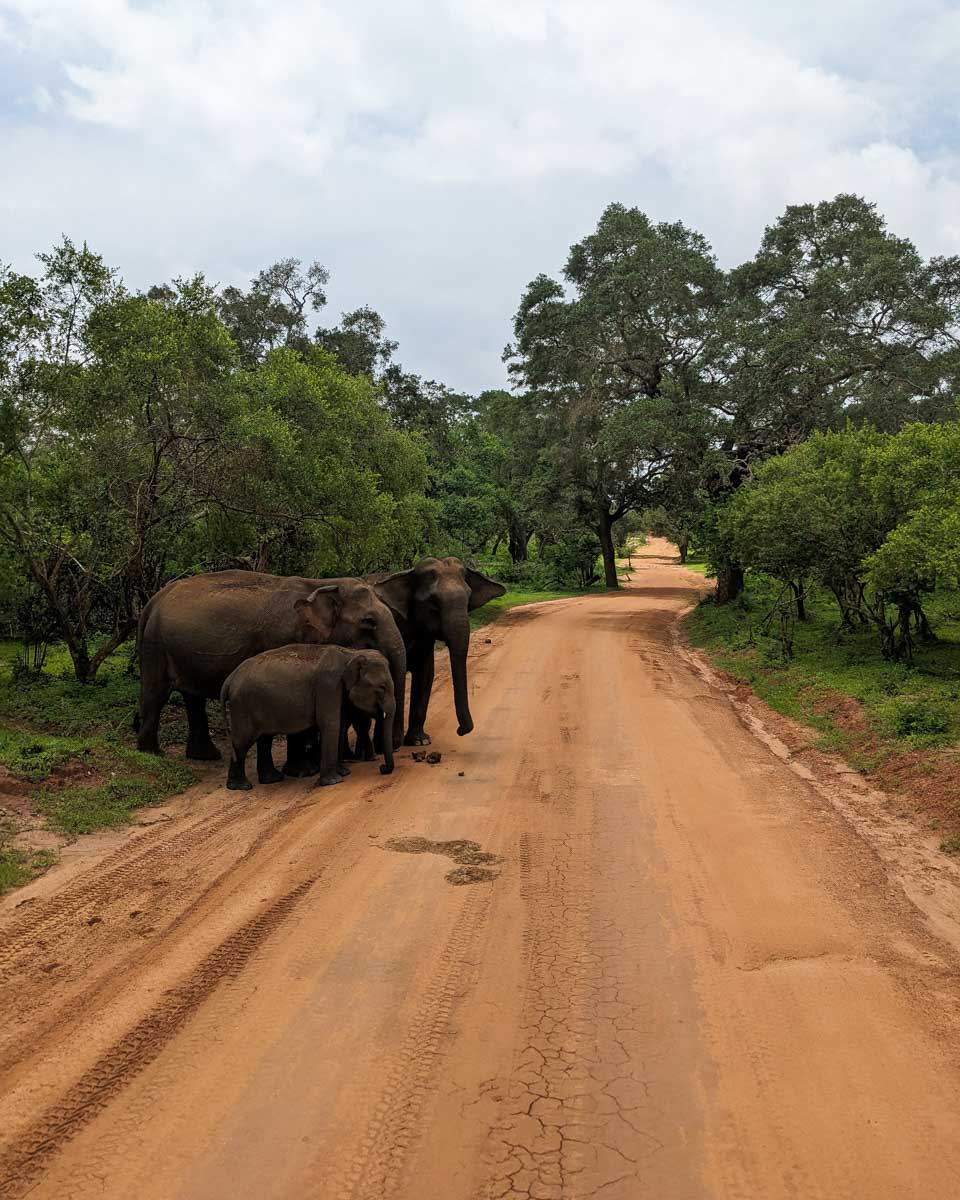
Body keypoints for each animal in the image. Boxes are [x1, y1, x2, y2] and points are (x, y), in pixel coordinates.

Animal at [135, 571, 406, 762]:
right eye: (368, 621)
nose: (394, 746)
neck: (322, 583)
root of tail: (151, 602)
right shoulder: (282, 637)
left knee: (193, 698)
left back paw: (205, 756)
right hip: (155, 644)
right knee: (155, 693)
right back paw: (152, 754)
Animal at [221, 645, 396, 790]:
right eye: (382, 687)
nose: (382, 768)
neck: (350, 653)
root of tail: (229, 679)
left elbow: (340, 724)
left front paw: (343, 772)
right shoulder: (328, 686)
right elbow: (331, 724)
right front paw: (333, 781)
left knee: (264, 738)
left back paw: (270, 780)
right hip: (242, 705)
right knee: (242, 741)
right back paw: (241, 786)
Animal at [365, 557, 505, 747]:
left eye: (468, 599)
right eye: (433, 604)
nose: (460, 731)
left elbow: (425, 674)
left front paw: (419, 741)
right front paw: (393, 744)